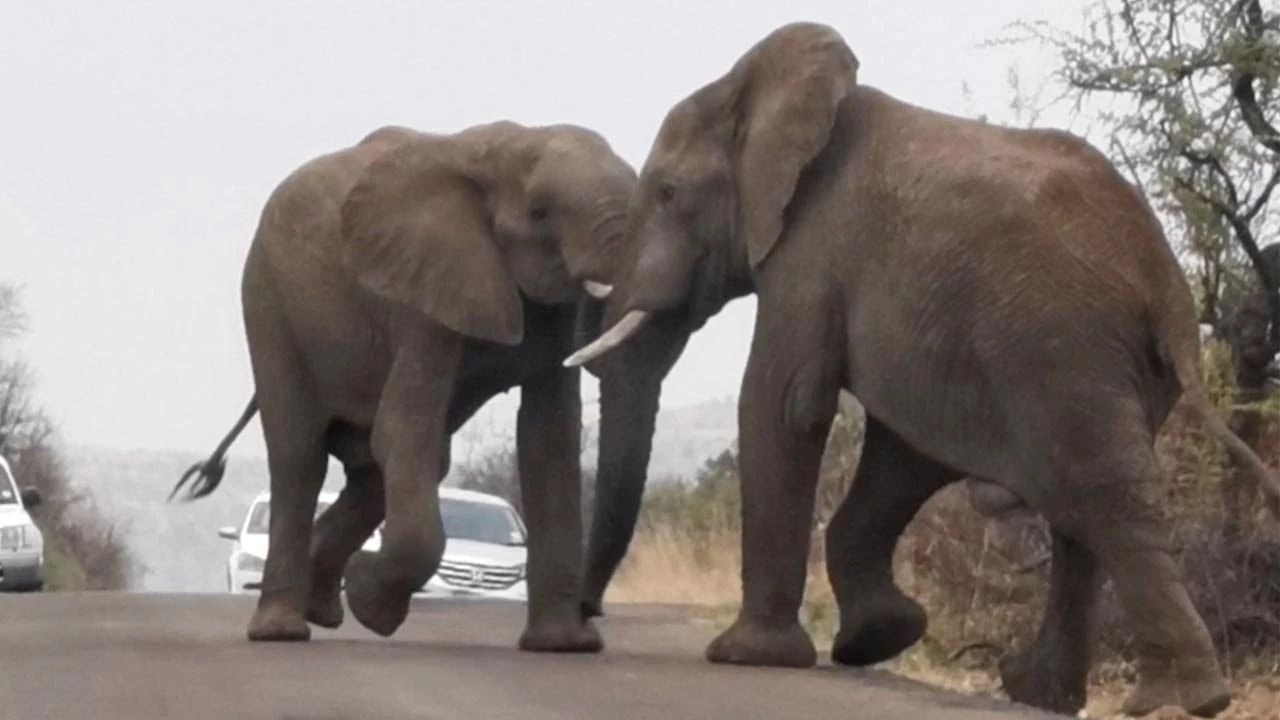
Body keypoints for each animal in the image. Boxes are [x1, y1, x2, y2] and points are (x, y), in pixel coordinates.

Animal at [171, 119, 689, 654]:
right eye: (539, 212)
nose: (594, 611)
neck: (510, 147)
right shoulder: (422, 289)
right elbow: (404, 427)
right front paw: (371, 605)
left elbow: (548, 440)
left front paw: (564, 646)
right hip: (269, 303)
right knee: (301, 457)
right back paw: (282, 630)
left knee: (380, 468)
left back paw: (324, 608)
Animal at [566, 21, 1280, 718]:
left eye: (668, 194)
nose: (587, 619)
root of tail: (1165, 280)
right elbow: (903, 453)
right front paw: (880, 637)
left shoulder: (811, 248)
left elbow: (785, 405)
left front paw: (748, 656)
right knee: (1084, 510)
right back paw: (1054, 693)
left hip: (1062, 346)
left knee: (1101, 499)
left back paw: (1184, 700)